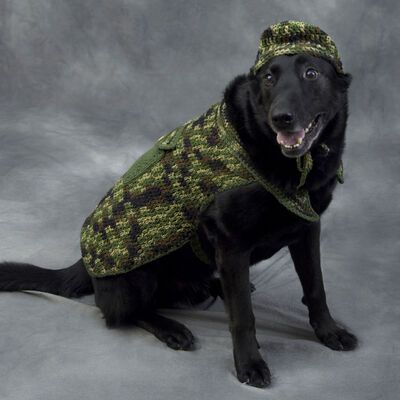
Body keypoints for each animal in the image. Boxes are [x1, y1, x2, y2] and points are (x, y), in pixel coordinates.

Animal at [0, 51, 356, 386]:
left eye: (311, 73)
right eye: (269, 77)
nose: (281, 118)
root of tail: (84, 264)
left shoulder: (308, 229)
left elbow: (316, 287)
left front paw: (329, 331)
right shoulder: (232, 244)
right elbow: (243, 316)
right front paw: (250, 364)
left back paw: (211, 287)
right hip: (138, 278)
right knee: (125, 313)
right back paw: (171, 327)